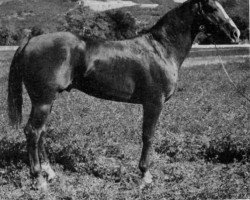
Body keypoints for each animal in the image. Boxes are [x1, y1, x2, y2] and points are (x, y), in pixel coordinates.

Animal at [7, 0, 238, 191]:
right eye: (212, 7)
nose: (235, 33)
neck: (161, 49)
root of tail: (29, 42)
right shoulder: (154, 103)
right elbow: (148, 136)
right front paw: (145, 177)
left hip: (45, 101)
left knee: (41, 133)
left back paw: (50, 173)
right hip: (43, 101)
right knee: (33, 132)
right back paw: (39, 180)